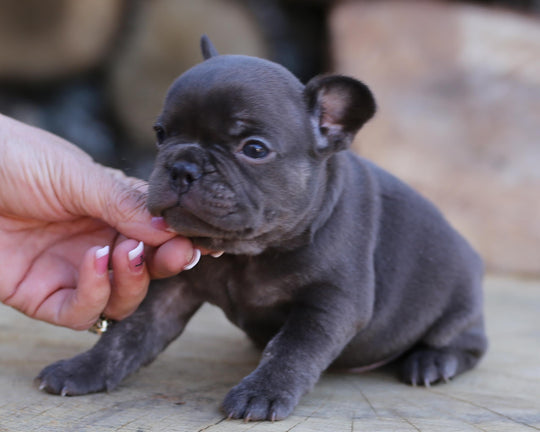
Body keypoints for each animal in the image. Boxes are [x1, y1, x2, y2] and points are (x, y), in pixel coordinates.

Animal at [35, 35, 488, 420]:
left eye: (254, 149)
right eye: (161, 133)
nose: (182, 167)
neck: (248, 253)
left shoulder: (330, 303)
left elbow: (291, 349)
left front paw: (262, 392)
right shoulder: (170, 293)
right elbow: (127, 334)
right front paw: (84, 367)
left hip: (458, 304)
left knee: (468, 343)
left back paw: (432, 361)